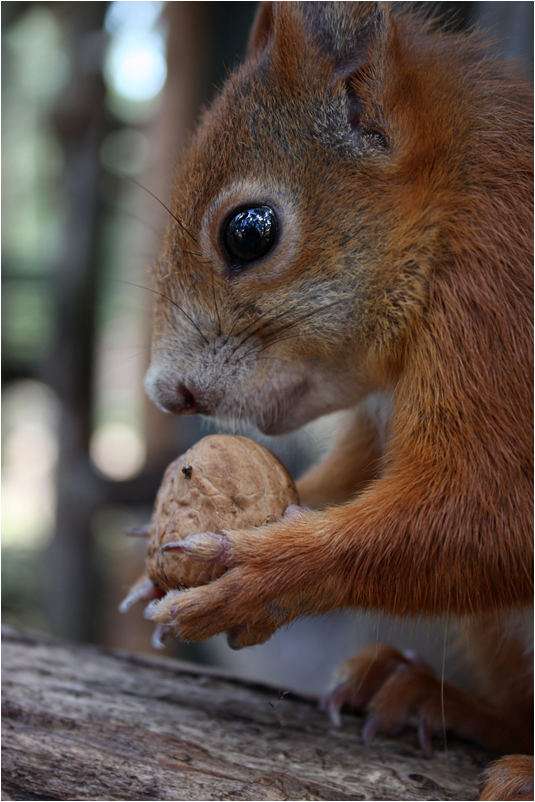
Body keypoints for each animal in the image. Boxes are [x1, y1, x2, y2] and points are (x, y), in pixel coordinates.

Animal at [140, 3, 532, 796]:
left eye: (248, 232)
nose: (167, 394)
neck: (452, 210)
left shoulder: (502, 303)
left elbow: (490, 509)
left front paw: (253, 571)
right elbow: (345, 481)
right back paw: (428, 697)